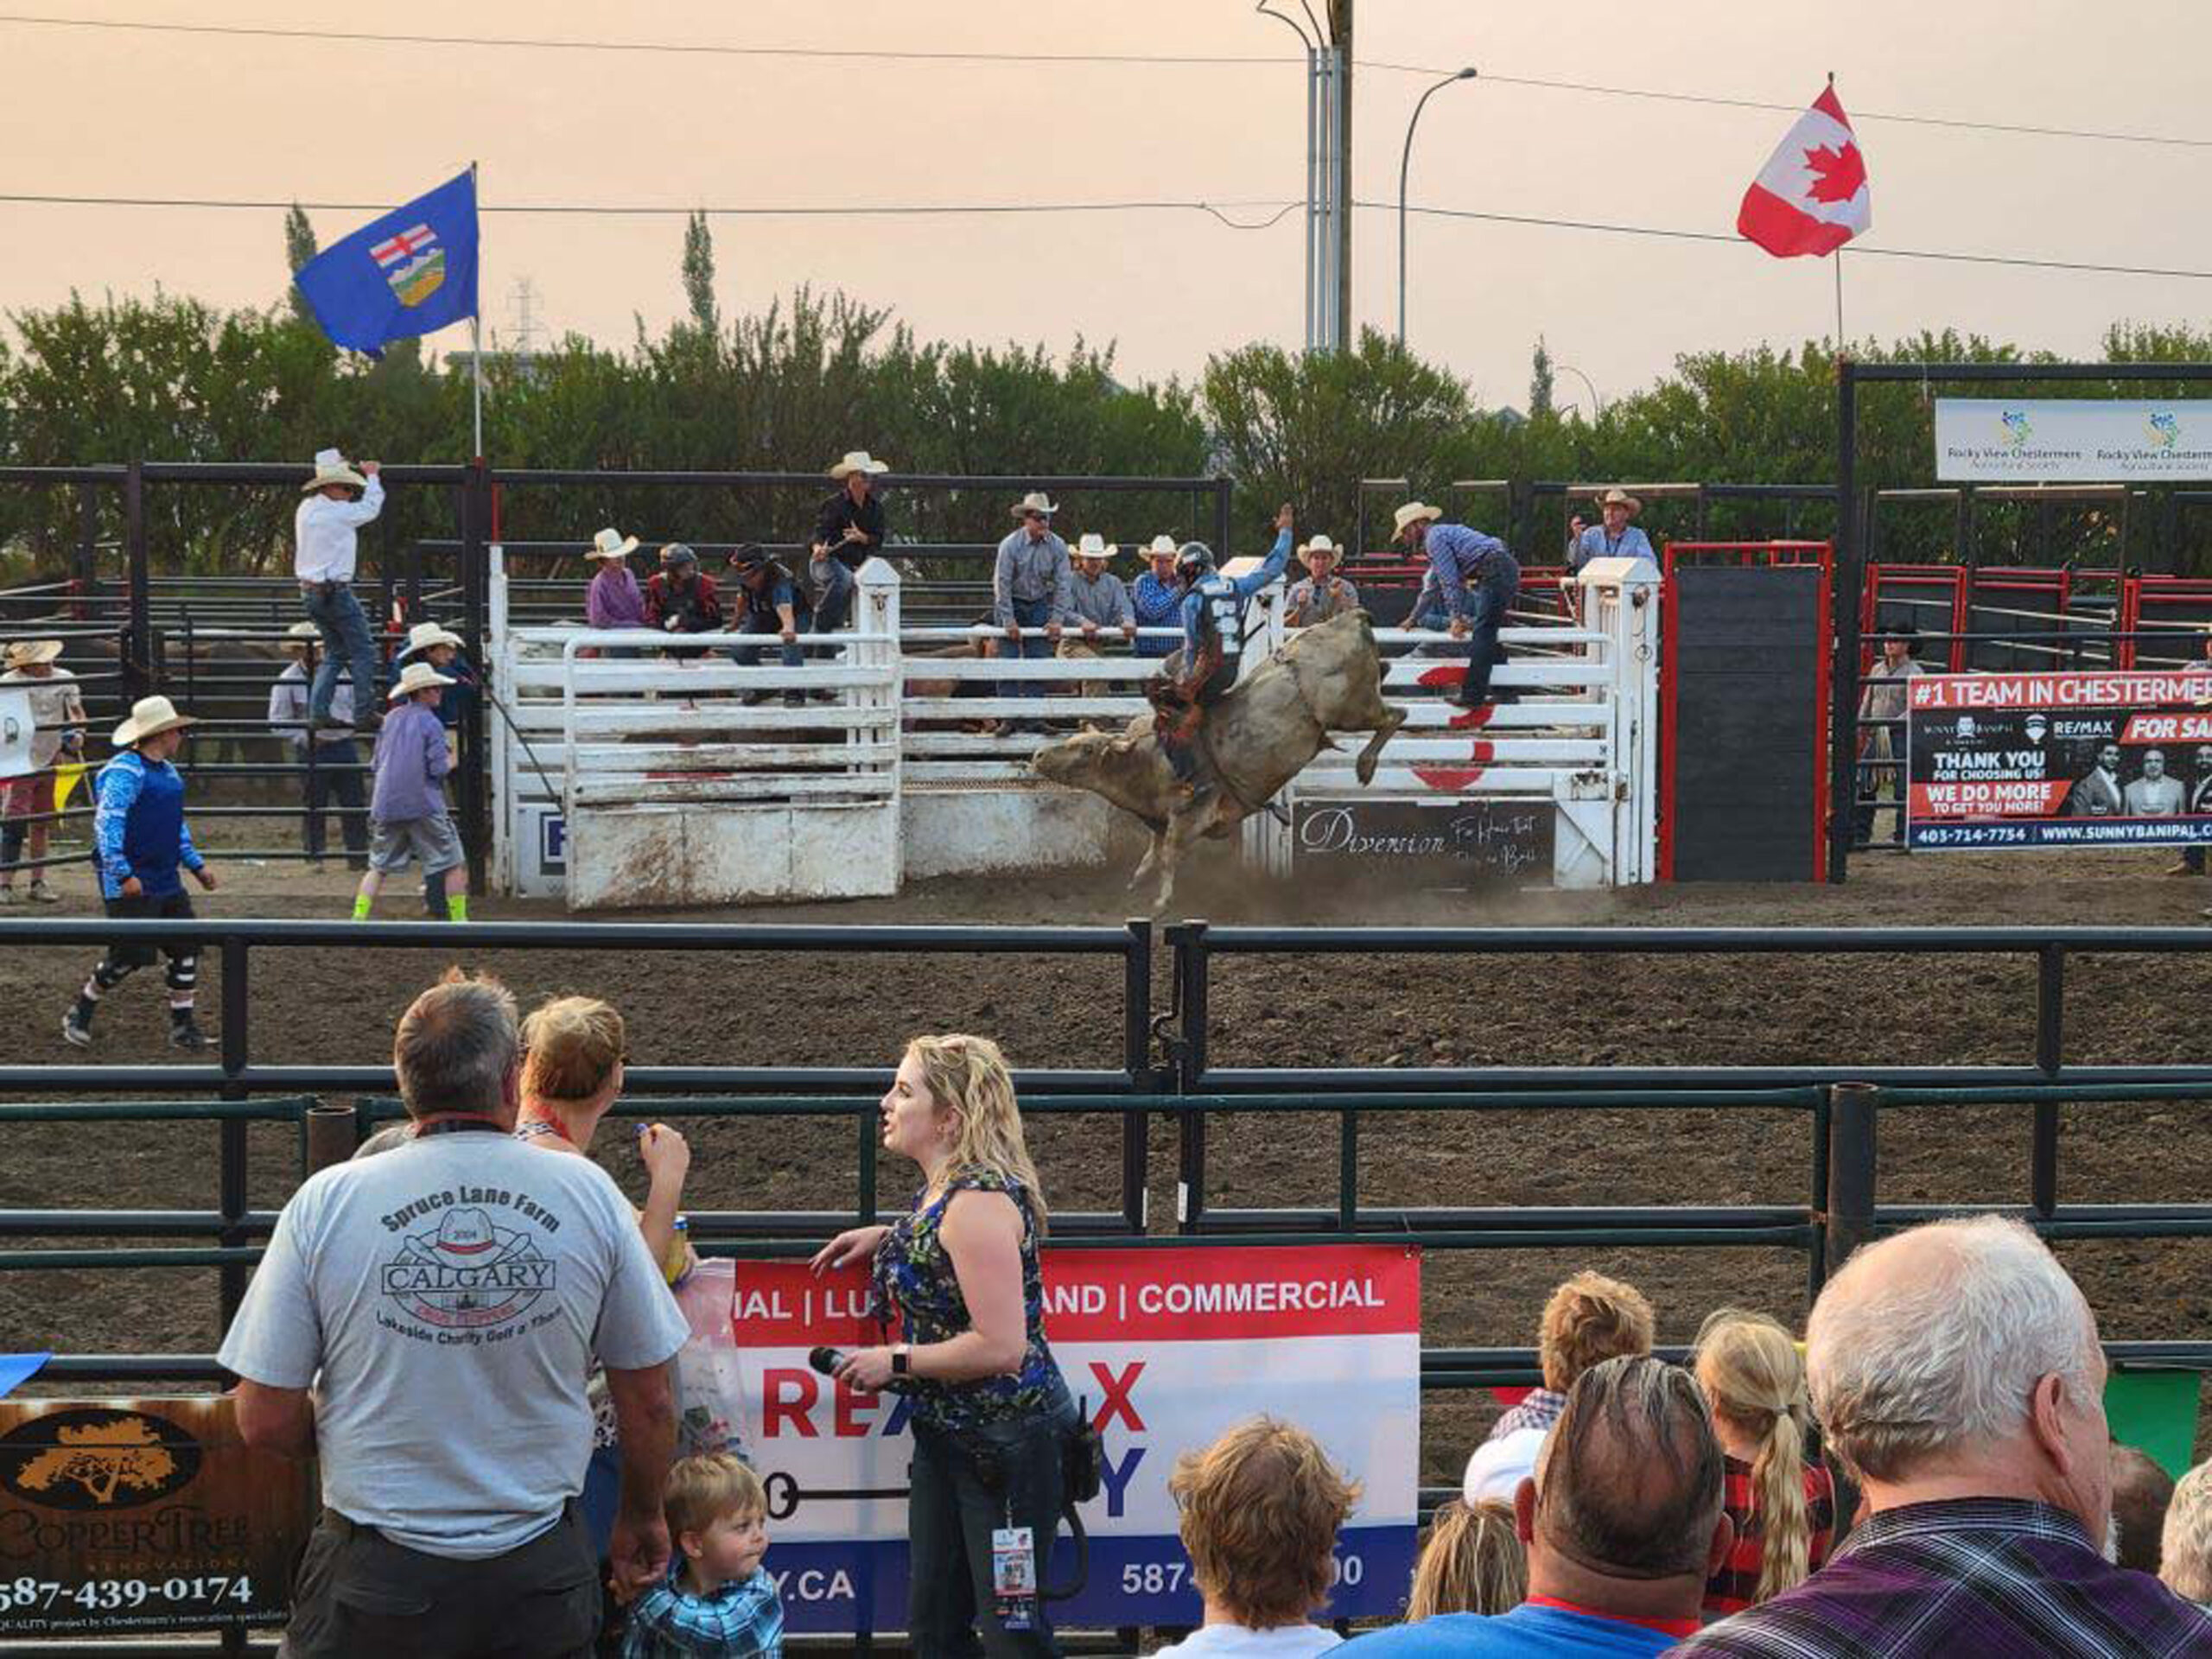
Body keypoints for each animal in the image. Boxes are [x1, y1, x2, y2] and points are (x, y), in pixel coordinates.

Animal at [1030, 606, 1407, 915]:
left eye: (1087, 751)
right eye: (1072, 741)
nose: (1038, 754)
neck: (1146, 761)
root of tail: (1350, 617)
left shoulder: (1191, 813)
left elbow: (1169, 855)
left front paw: (1161, 904)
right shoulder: (1161, 821)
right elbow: (1151, 855)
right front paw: (1134, 884)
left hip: (1353, 710)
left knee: (1395, 715)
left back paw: (1366, 766)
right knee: (1390, 694)